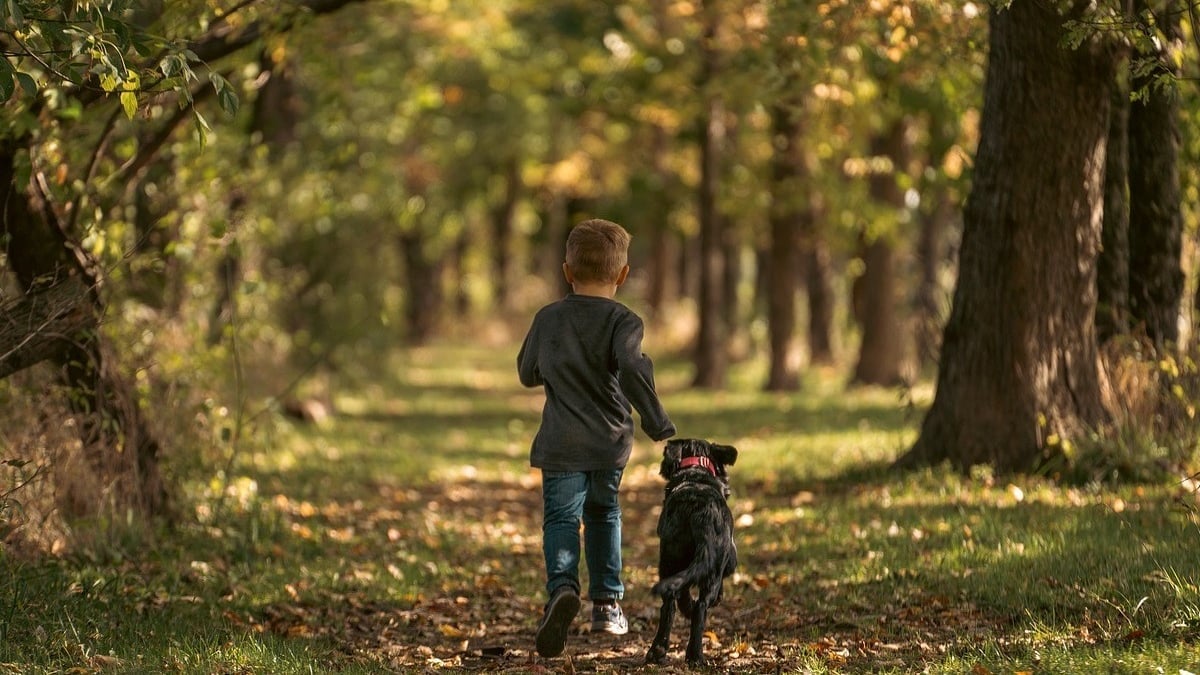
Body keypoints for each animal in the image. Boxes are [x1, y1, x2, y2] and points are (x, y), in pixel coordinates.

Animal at [643, 437, 734, 662]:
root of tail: (699, 513)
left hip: (669, 560)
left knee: (670, 602)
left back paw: (658, 650)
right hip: (712, 568)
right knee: (701, 607)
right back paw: (695, 655)